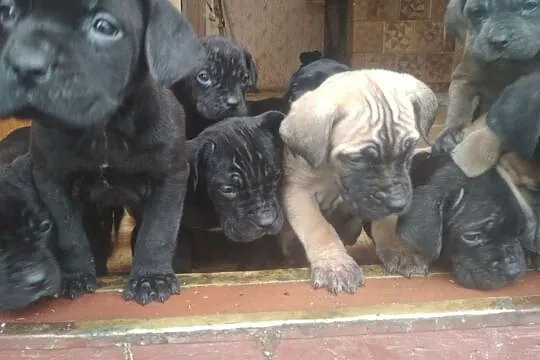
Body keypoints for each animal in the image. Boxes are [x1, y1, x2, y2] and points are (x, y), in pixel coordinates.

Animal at [432, 0, 540, 153]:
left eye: (530, 6)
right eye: (477, 13)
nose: (499, 41)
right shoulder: (464, 79)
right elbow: (458, 108)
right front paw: (450, 133)